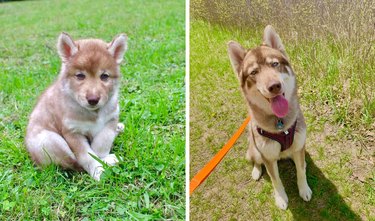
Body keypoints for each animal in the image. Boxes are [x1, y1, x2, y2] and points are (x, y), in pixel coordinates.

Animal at [25, 33, 128, 181]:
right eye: (80, 76)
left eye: (104, 76)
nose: (93, 99)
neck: (93, 113)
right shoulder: (72, 132)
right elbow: (87, 156)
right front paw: (98, 170)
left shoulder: (111, 119)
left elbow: (103, 142)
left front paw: (102, 157)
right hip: (49, 140)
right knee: (73, 163)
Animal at [228, 25, 312, 209]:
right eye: (254, 72)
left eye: (275, 64)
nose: (274, 86)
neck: (281, 124)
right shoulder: (267, 156)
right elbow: (275, 179)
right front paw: (281, 198)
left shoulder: (299, 145)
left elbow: (301, 171)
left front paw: (304, 189)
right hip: (255, 150)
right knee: (256, 161)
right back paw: (256, 171)